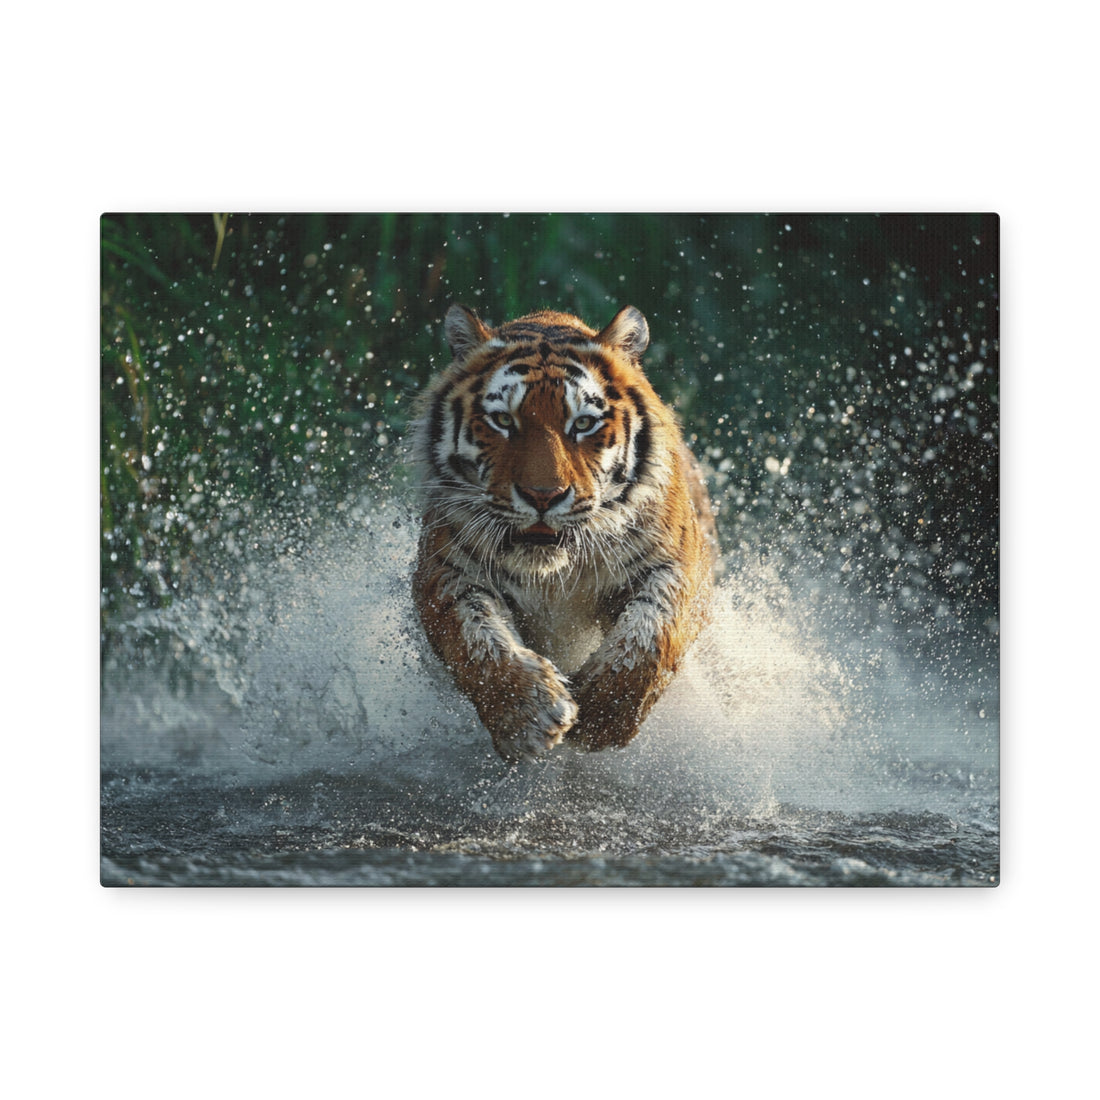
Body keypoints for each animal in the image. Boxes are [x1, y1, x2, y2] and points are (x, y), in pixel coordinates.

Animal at [411, 303, 717, 764]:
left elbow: (652, 632)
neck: (552, 574)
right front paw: (528, 715)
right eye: (503, 420)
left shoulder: (675, 565)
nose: (543, 496)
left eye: (584, 424)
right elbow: (475, 638)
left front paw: (601, 716)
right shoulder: (445, 569)